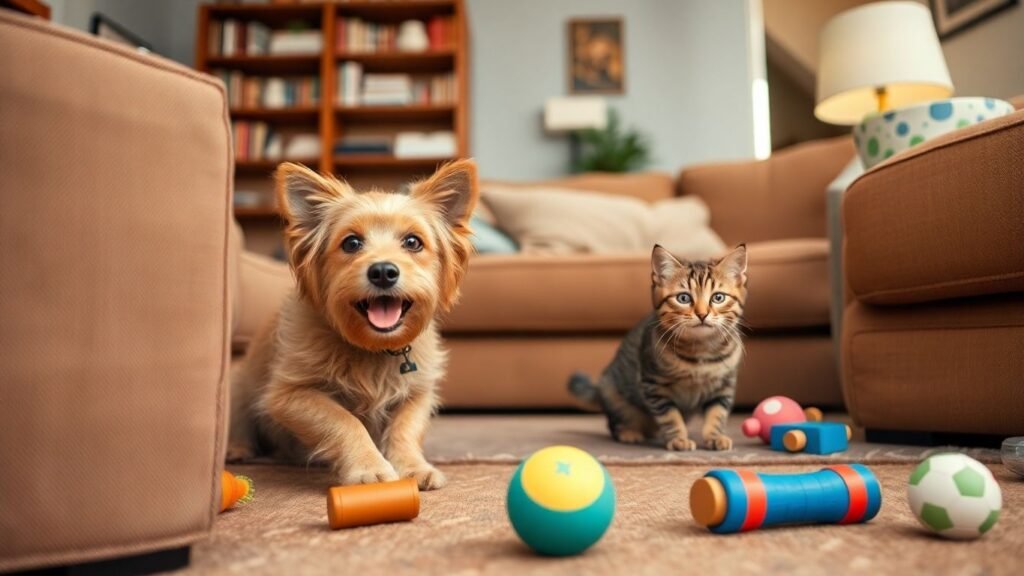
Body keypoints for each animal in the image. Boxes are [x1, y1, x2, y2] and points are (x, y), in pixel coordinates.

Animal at [230, 157, 477, 487]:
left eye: (413, 242)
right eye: (351, 243)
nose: (383, 271)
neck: (374, 348)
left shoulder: (419, 393)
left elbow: (405, 429)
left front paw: (413, 466)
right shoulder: (289, 395)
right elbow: (344, 421)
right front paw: (368, 466)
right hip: (237, 386)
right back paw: (237, 449)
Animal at [569, 241, 745, 448]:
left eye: (718, 297)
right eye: (683, 298)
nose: (702, 314)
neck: (700, 350)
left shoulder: (724, 386)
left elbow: (717, 414)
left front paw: (715, 437)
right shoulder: (654, 385)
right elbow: (670, 416)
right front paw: (678, 439)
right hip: (616, 396)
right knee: (615, 422)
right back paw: (629, 432)